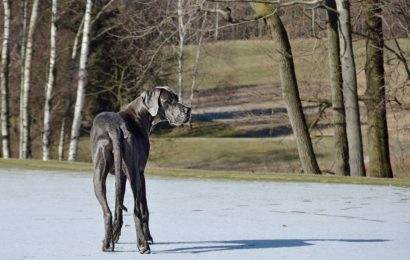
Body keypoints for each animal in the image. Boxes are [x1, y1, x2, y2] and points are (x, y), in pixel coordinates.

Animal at [90, 86, 191, 253]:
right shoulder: (140, 173)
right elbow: (145, 208)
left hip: (99, 174)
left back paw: (107, 244)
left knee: (107, 211)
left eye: (176, 98)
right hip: (134, 175)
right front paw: (148, 237)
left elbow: (118, 205)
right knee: (136, 210)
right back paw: (143, 245)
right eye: (169, 101)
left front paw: (115, 235)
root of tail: (114, 128)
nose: (188, 110)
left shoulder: (121, 176)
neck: (139, 114)